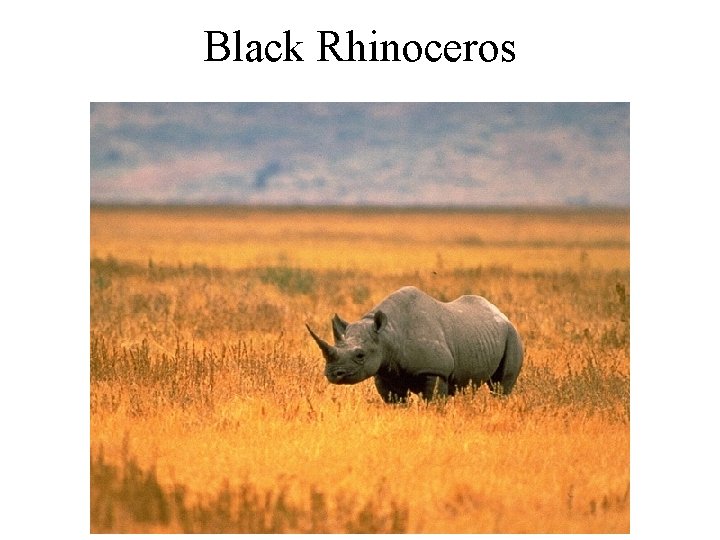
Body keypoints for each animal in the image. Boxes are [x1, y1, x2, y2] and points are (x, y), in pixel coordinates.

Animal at [306, 286, 523, 402]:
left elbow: (434, 400)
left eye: (360, 355)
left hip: (512, 334)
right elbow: (395, 401)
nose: (334, 374)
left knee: (500, 385)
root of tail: (501, 313)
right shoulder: (385, 370)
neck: (388, 335)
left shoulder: (435, 370)